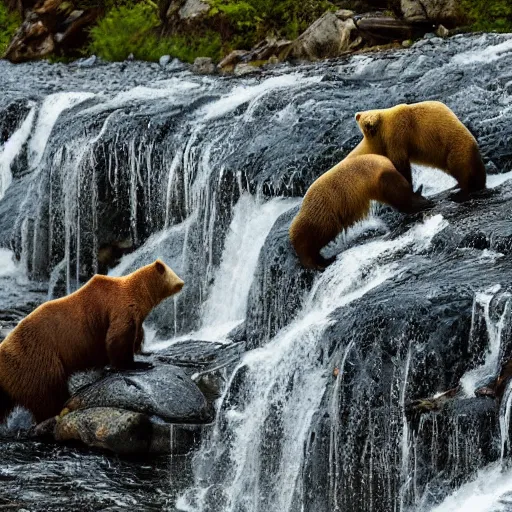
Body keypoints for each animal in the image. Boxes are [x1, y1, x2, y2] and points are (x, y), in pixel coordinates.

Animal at [0, 260, 184, 424]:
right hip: (37, 359)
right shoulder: (120, 309)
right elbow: (118, 341)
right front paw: (139, 364)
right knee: (48, 393)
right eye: (174, 274)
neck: (139, 293)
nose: (183, 283)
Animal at [288, 155, 432, 268]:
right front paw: (423, 201)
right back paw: (317, 262)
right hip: (321, 216)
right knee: (307, 240)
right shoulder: (382, 179)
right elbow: (402, 197)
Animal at [346, 101, 486, 195]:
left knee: (461, 167)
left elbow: (400, 161)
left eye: (372, 117)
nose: (370, 125)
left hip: (455, 147)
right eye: (363, 120)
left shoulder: (398, 134)